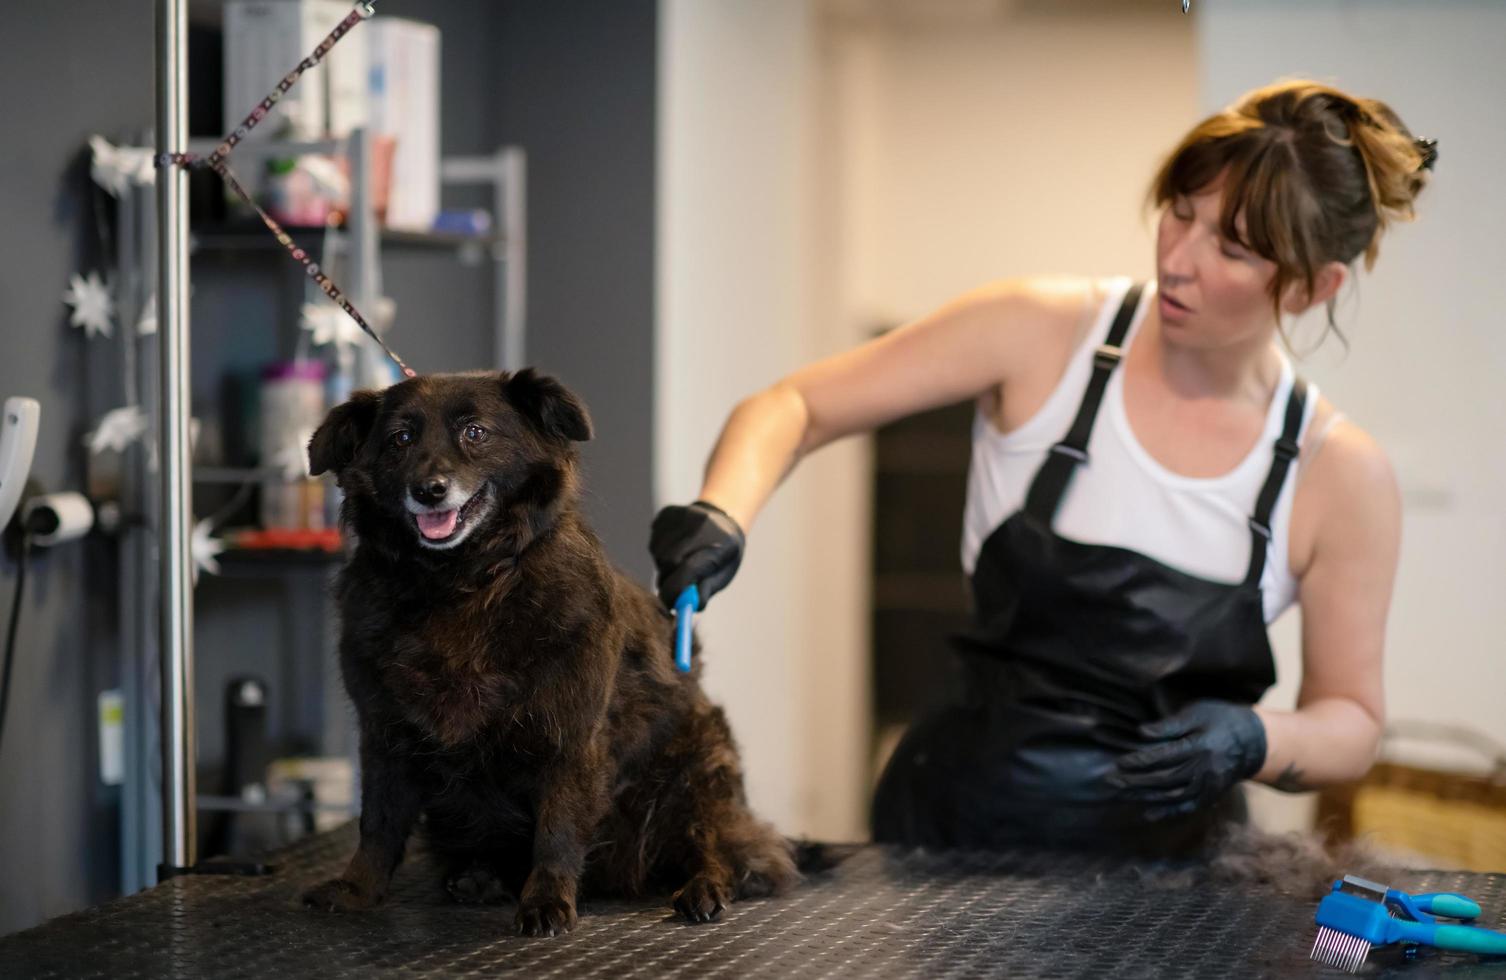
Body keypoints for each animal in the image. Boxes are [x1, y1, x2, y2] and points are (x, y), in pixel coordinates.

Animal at [299, 370, 807, 933]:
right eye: (400, 440)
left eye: (475, 432)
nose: (428, 490)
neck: (460, 583)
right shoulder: (384, 732)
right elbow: (377, 825)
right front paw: (356, 889)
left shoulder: (570, 733)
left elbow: (558, 830)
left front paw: (546, 901)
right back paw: (481, 879)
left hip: (697, 778)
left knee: (723, 849)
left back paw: (704, 889)